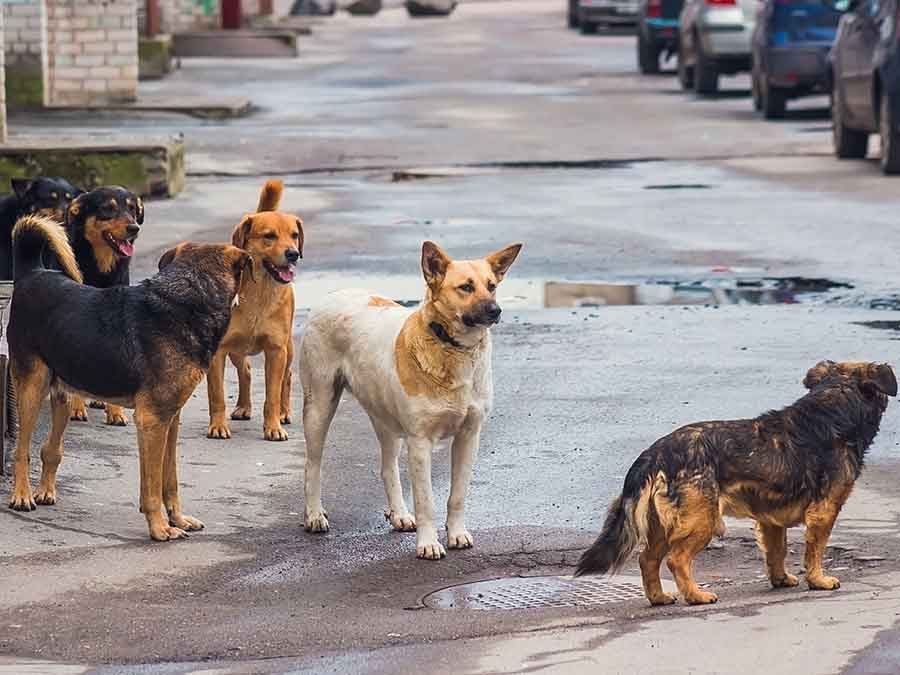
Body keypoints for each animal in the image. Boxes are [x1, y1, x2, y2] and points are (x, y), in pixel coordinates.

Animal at [7, 214, 253, 540]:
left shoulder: (170, 419)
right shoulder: (152, 421)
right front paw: (160, 528)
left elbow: (169, 479)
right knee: (21, 450)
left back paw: (45, 490)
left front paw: (178, 519)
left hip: (63, 394)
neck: (188, 299)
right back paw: (21, 496)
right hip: (32, 388)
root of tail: (32, 273)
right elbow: (151, 487)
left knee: (51, 448)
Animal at [207, 181, 302, 444]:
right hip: (236, 349)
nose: (293, 254)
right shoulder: (218, 351)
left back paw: (284, 412)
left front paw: (273, 427)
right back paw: (243, 407)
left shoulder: (276, 350)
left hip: (288, 348)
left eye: (295, 235)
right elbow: (217, 395)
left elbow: (272, 395)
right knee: (246, 371)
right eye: (269, 236)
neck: (260, 292)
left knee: (287, 377)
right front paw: (218, 426)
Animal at [298, 242, 520, 560]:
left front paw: (457, 534)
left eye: (492, 286)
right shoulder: (420, 442)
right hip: (319, 406)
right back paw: (314, 515)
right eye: (465, 287)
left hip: (385, 420)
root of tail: (334, 294)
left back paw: (399, 514)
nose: (496, 310)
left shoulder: (469, 436)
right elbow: (426, 501)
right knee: (312, 465)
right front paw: (428, 543)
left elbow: (458, 495)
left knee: (387, 467)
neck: (452, 348)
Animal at [576, 364, 892, 608]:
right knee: (676, 560)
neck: (834, 403)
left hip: (663, 525)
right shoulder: (824, 512)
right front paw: (818, 580)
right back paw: (696, 596)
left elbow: (776, 552)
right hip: (702, 521)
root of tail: (655, 454)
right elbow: (814, 550)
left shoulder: (770, 520)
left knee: (647, 560)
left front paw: (780, 579)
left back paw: (659, 598)